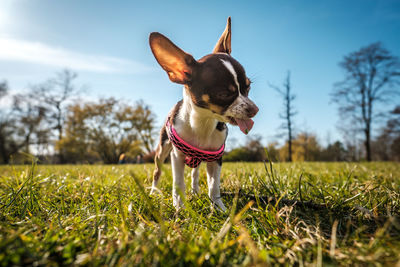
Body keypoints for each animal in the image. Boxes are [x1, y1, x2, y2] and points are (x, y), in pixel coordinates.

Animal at [148, 17, 258, 213]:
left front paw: (219, 208)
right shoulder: (177, 157)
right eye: (224, 94)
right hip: (162, 150)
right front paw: (180, 207)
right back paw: (154, 192)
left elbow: (214, 186)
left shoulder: (216, 158)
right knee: (157, 172)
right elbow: (178, 183)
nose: (254, 109)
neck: (203, 123)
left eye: (248, 87)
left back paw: (195, 191)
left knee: (195, 173)